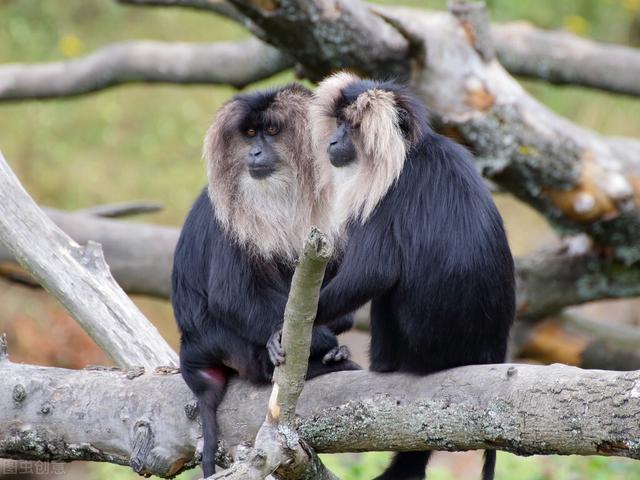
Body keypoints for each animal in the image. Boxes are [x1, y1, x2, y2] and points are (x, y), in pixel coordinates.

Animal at [172, 84, 358, 478]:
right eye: (249, 134)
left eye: (271, 132)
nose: (255, 152)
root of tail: (191, 350)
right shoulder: (231, 218)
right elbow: (230, 296)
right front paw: (294, 340)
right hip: (229, 345)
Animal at [306, 72, 516, 480]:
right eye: (338, 123)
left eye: (351, 126)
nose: (333, 142)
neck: (409, 151)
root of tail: (485, 354)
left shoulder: (388, 191)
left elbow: (374, 272)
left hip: (421, 347)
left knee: (385, 297)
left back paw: (378, 366)